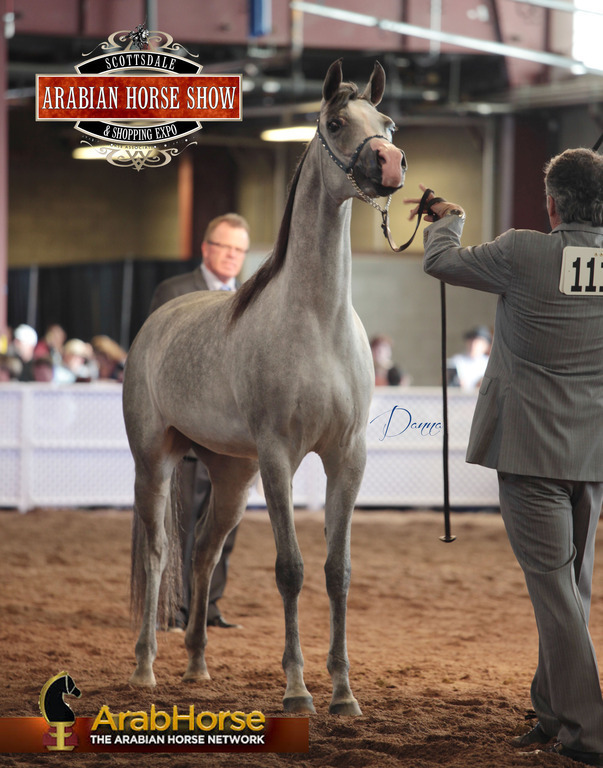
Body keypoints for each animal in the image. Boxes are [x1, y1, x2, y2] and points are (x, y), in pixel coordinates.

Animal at [123, 58, 406, 715]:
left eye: (385, 122)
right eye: (336, 122)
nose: (389, 163)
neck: (318, 320)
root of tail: (154, 324)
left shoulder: (346, 456)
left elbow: (337, 570)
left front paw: (344, 693)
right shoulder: (280, 456)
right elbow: (291, 569)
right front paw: (298, 691)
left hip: (231, 473)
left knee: (203, 549)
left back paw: (197, 664)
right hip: (156, 460)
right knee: (157, 553)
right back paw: (146, 667)